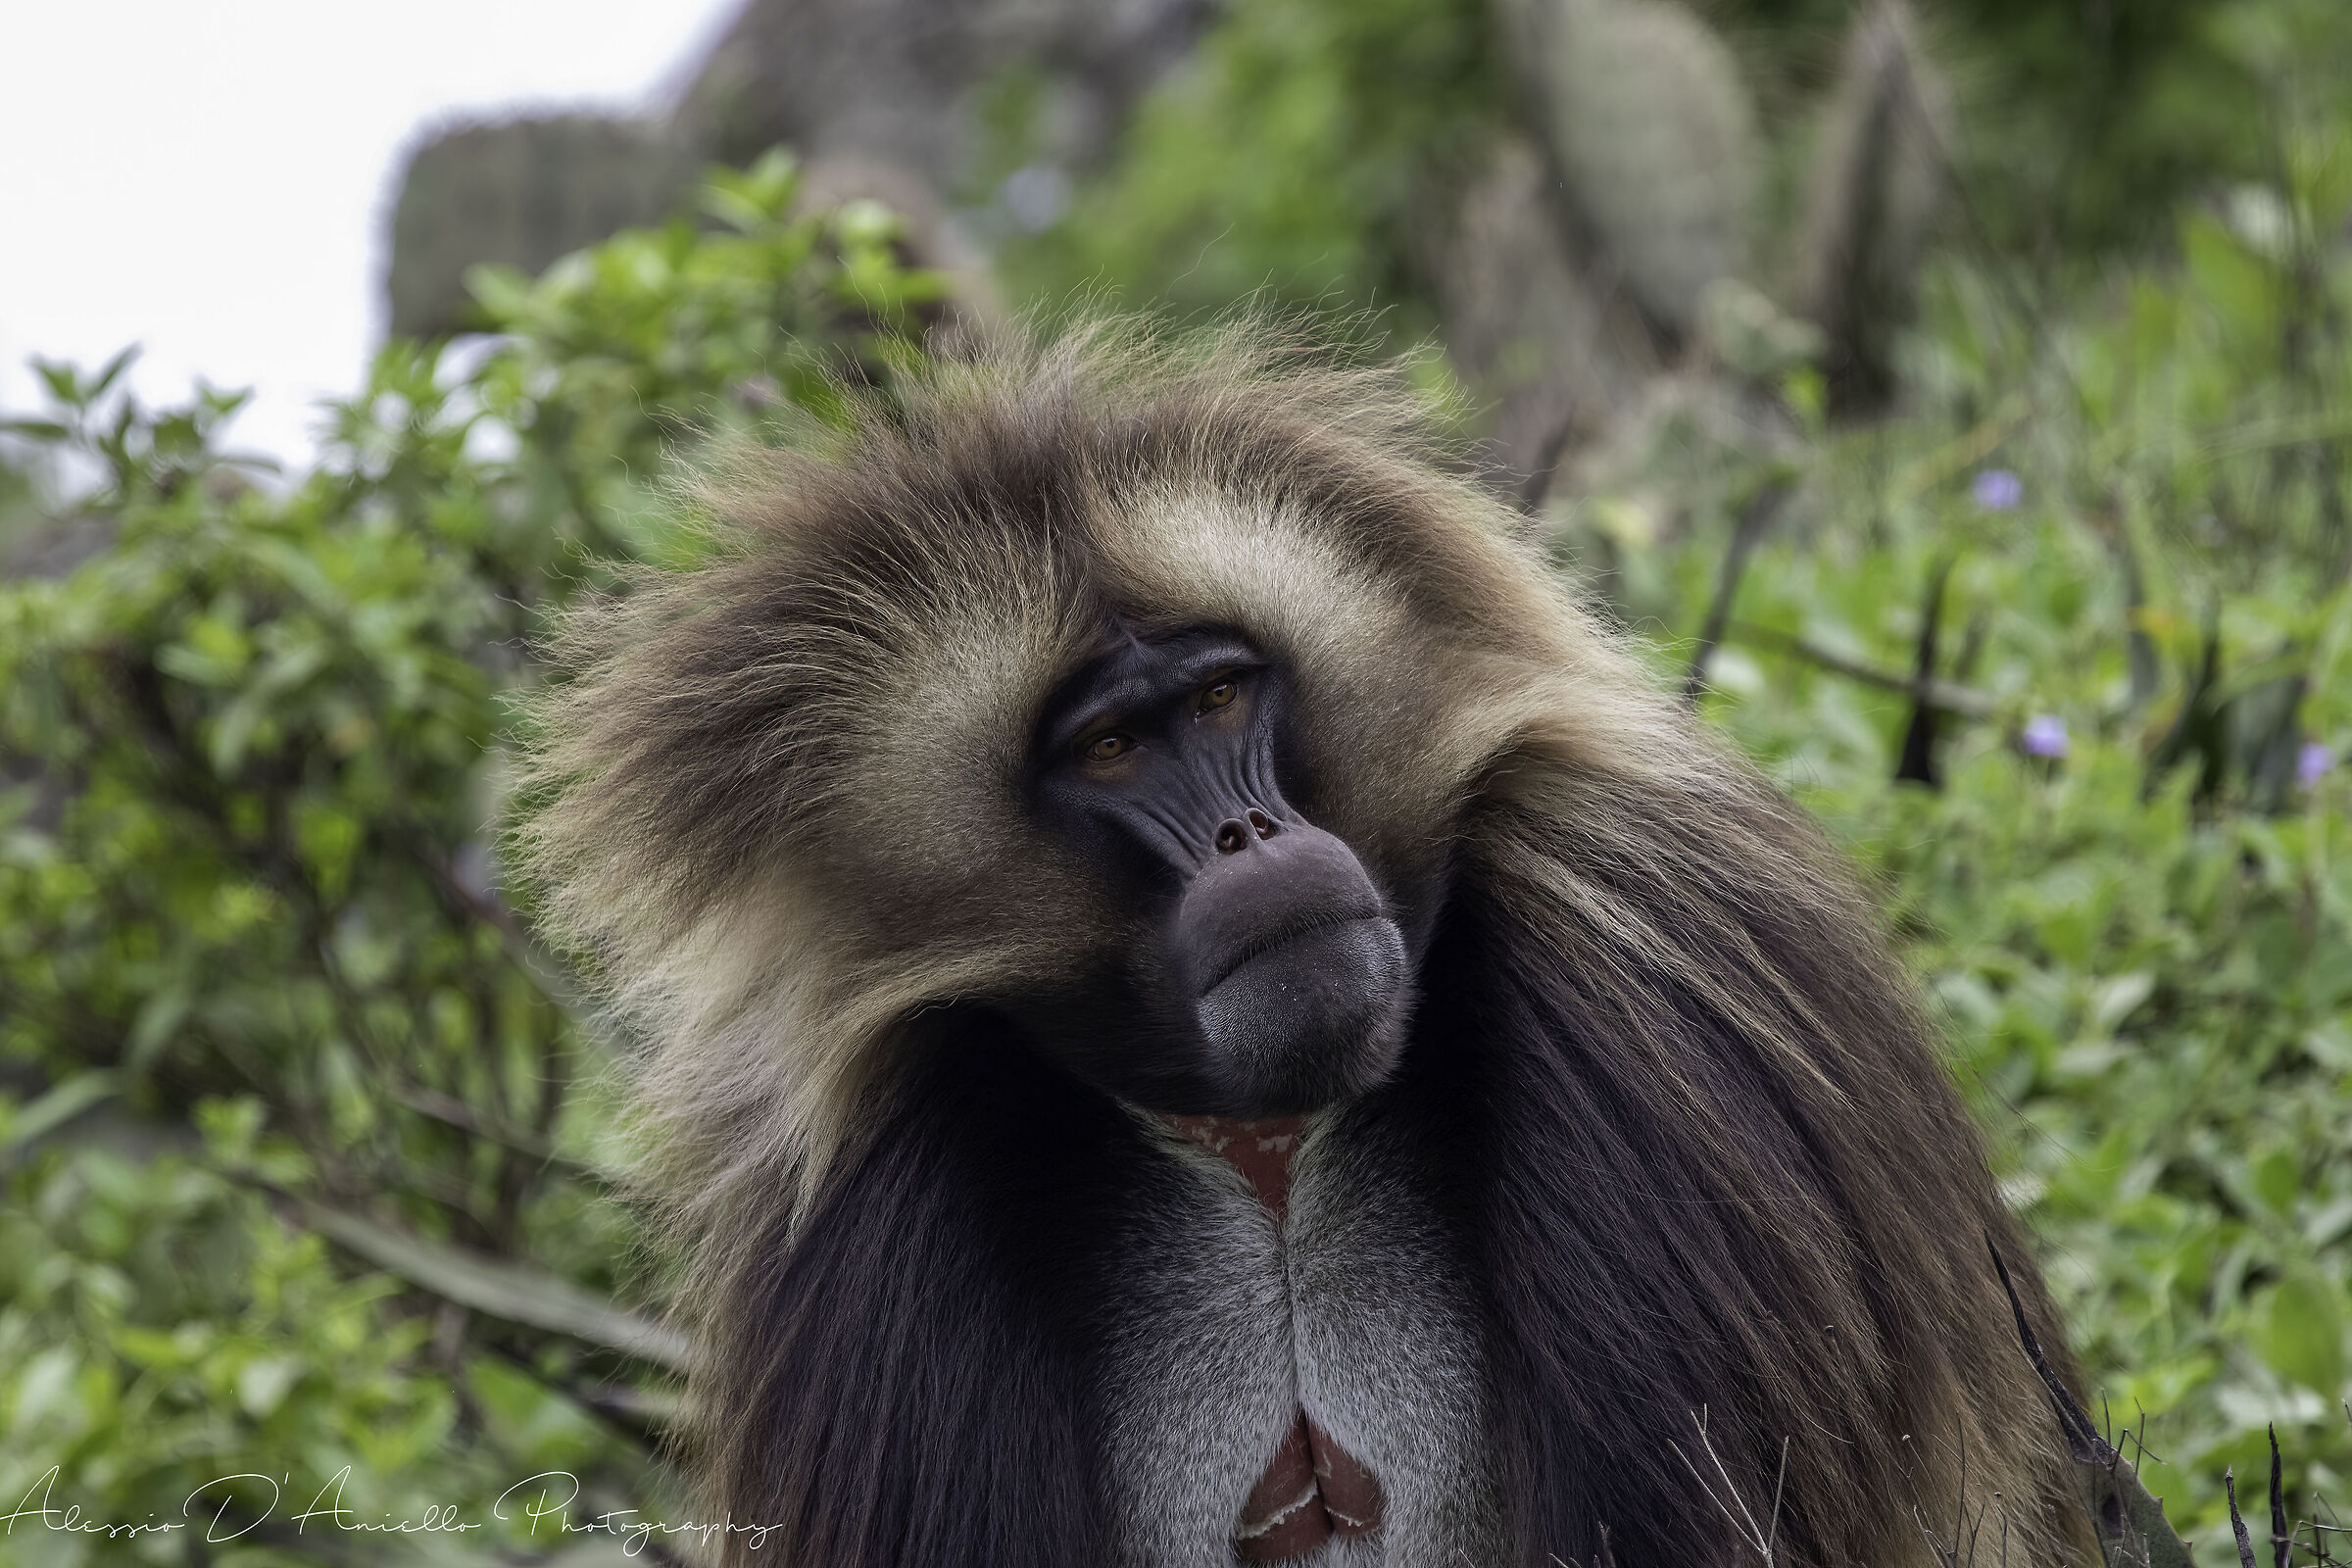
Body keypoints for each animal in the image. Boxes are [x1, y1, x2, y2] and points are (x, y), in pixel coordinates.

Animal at [513, 322, 2095, 1568]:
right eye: (1109, 747)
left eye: (1220, 698)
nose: (1250, 840)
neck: (1269, 1148)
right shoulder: (868, 1209)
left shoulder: (1658, 981)